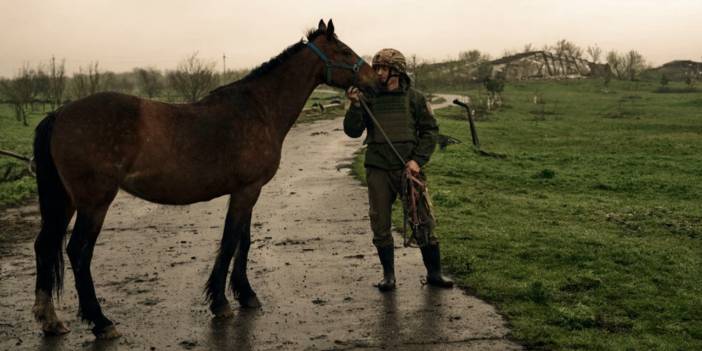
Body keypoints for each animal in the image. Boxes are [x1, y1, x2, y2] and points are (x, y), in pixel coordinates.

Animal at [31, 20, 380, 340]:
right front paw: (221, 302)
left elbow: (243, 241)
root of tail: (59, 114)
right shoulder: (246, 191)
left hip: (65, 201)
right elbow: (229, 241)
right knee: (78, 252)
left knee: (45, 246)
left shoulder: (249, 191)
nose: (375, 81)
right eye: (344, 51)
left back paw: (50, 320)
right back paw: (101, 322)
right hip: (95, 203)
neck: (260, 109)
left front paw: (246, 295)